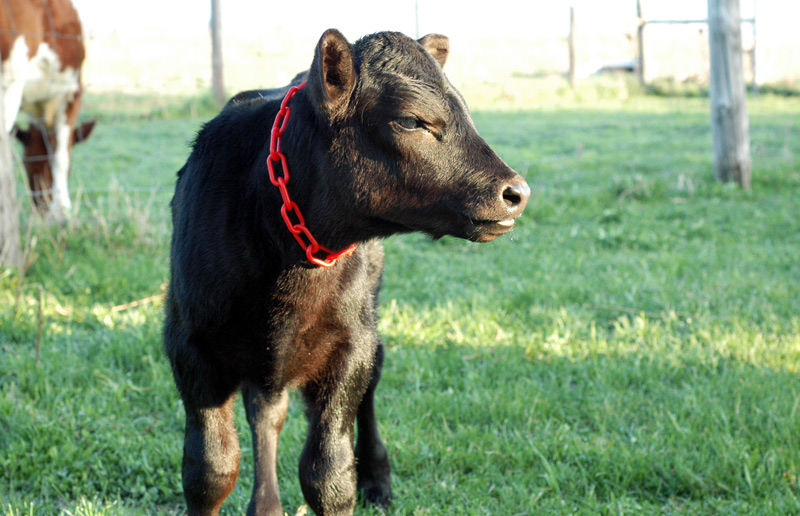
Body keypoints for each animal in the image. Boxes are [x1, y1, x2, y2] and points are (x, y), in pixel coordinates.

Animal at [164, 30, 531, 516]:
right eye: (411, 120)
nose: (517, 192)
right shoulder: (189, 344)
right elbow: (210, 469)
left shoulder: (350, 347)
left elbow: (329, 475)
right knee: (266, 410)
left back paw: (376, 478)